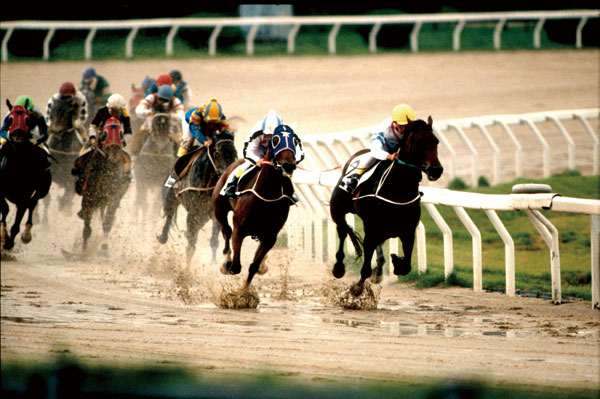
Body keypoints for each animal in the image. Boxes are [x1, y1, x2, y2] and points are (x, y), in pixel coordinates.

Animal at [212, 126, 298, 290]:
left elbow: (253, 266)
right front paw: (229, 266)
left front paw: (244, 291)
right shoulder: (239, 229)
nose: (289, 165)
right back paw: (225, 261)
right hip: (219, 209)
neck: (266, 195)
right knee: (226, 230)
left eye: (295, 141)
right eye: (275, 140)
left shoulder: (271, 236)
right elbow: (236, 267)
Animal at [326, 116, 442, 296]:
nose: (436, 170)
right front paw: (357, 287)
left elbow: (406, 266)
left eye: (436, 141)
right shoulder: (372, 229)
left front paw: (395, 261)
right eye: (419, 141)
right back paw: (339, 267)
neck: (398, 190)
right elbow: (365, 267)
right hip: (337, 210)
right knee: (343, 230)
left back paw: (379, 269)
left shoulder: (407, 231)